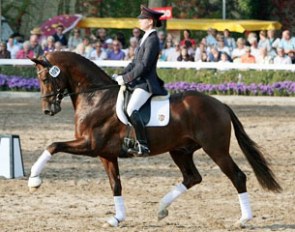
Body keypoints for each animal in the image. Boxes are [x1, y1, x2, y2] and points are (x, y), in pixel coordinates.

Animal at [28, 51, 284, 228]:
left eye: (45, 78)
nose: (47, 110)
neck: (96, 96)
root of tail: (220, 104)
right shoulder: (106, 154)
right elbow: (115, 184)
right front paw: (117, 219)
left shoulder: (91, 145)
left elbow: (53, 145)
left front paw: (34, 180)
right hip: (180, 151)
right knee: (192, 177)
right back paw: (161, 209)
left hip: (216, 149)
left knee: (237, 176)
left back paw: (243, 219)